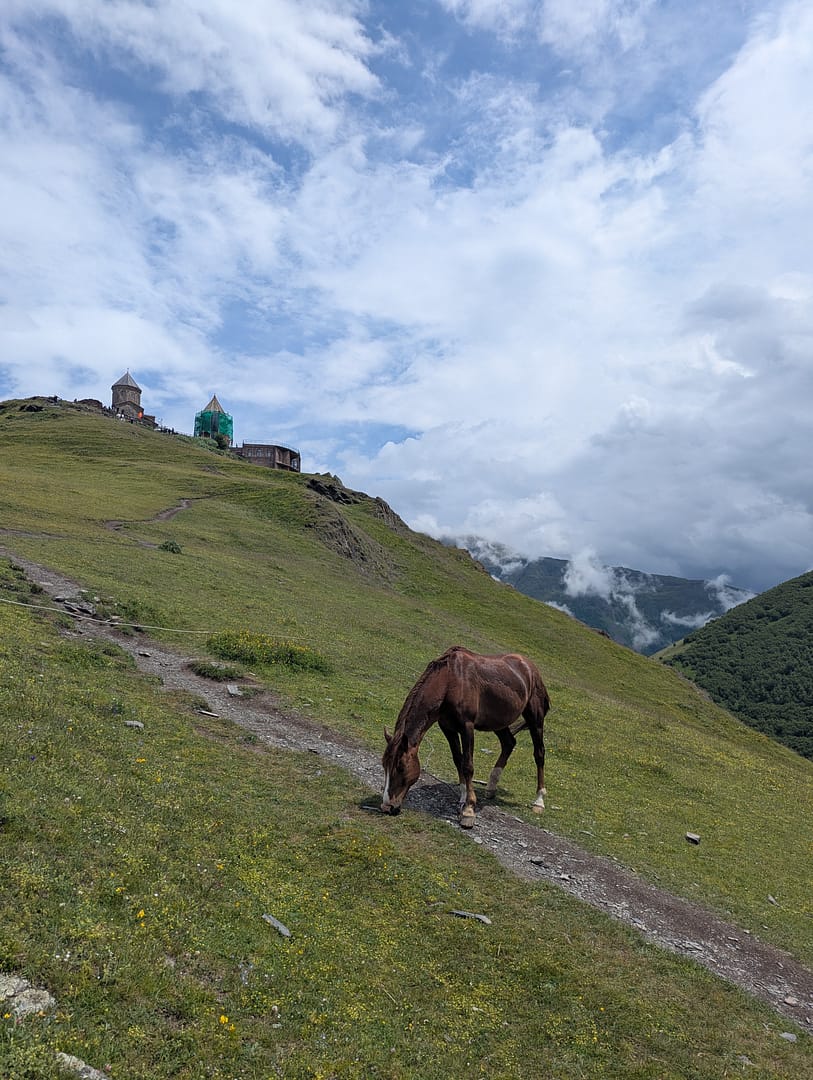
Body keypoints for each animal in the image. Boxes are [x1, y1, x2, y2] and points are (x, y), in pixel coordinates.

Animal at [381, 646, 551, 828]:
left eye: (401, 767)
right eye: (384, 765)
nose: (387, 806)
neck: (450, 681)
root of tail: (530, 667)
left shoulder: (467, 727)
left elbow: (468, 765)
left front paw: (469, 810)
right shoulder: (447, 728)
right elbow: (458, 760)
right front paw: (463, 799)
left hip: (535, 719)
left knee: (539, 753)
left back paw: (539, 801)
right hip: (498, 721)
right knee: (509, 743)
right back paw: (491, 787)